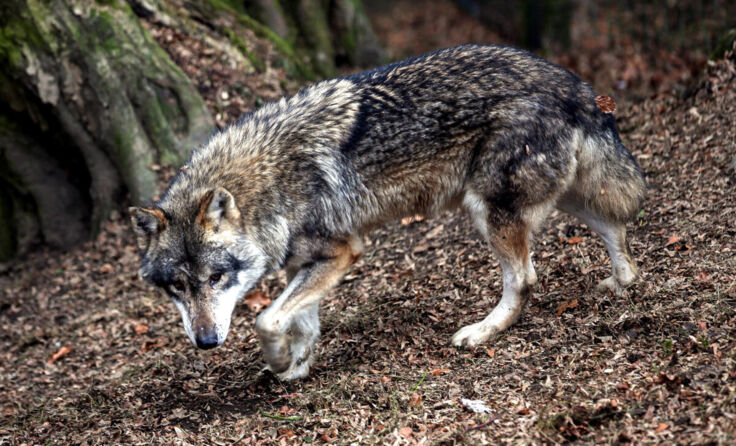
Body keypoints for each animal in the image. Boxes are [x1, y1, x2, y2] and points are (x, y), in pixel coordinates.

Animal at [130, 44, 646, 380]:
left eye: (216, 278)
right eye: (177, 286)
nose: (206, 342)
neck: (267, 182)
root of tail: (575, 85)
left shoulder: (343, 252)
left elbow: (266, 319)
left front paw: (278, 362)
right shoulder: (307, 262)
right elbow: (300, 320)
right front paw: (297, 365)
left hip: (488, 209)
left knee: (525, 279)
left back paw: (482, 333)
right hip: (566, 194)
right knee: (616, 230)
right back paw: (620, 284)